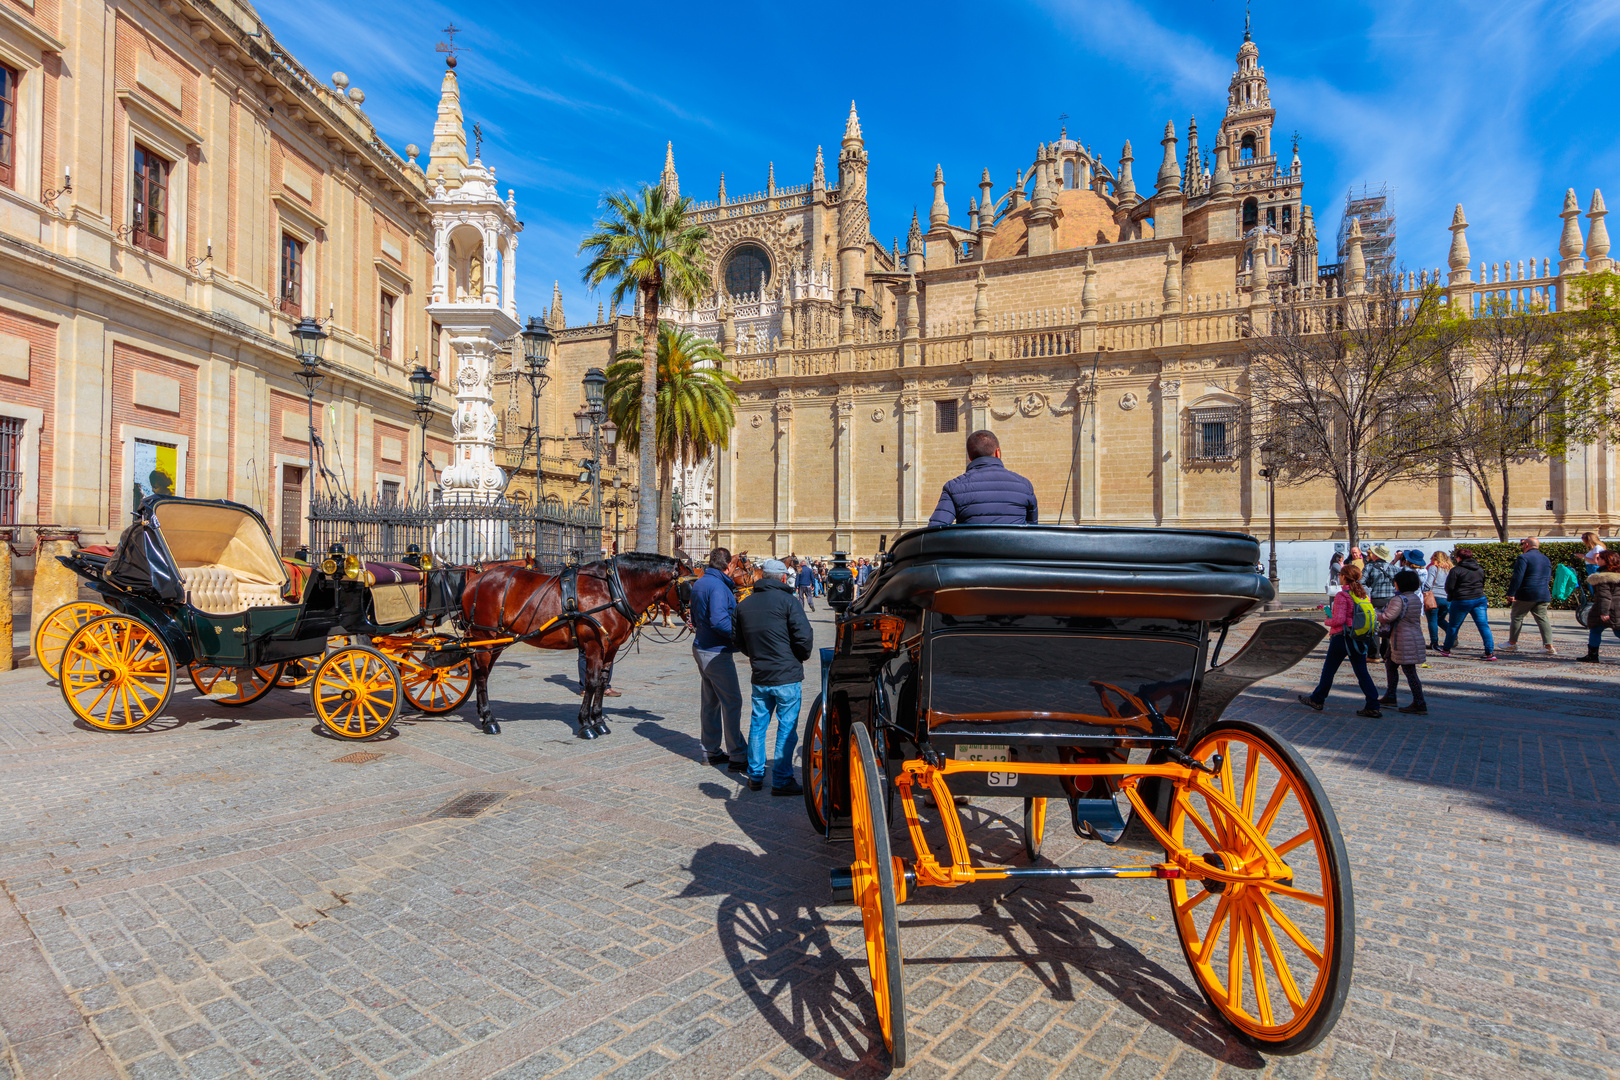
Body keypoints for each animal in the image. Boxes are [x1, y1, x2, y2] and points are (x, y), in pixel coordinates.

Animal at [456, 557, 690, 735]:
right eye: (689, 586)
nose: (694, 619)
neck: (612, 589)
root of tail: (475, 579)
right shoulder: (594, 645)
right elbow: (591, 682)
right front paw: (586, 724)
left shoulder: (611, 648)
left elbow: (602, 682)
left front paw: (599, 721)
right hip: (484, 637)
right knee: (481, 674)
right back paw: (489, 720)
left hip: (497, 640)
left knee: (483, 673)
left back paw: (483, 714)